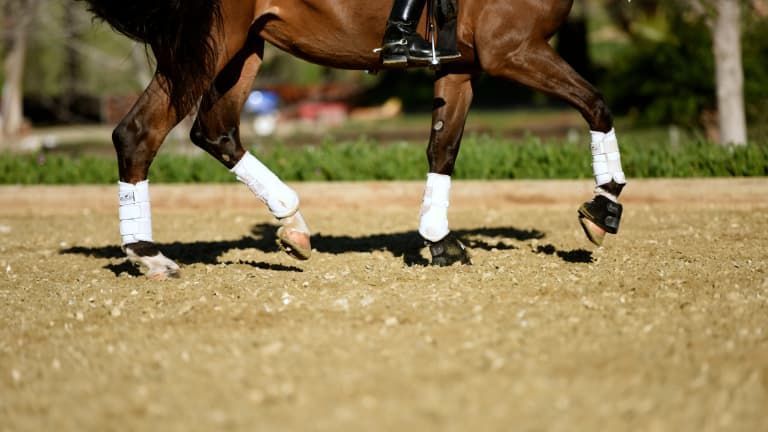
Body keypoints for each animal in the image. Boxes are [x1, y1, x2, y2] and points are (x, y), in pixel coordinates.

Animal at [79, 0, 627, 279]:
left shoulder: (460, 65)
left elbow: (443, 149)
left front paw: (439, 240)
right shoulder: (511, 49)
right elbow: (596, 104)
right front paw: (603, 210)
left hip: (243, 48)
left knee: (214, 131)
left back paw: (293, 224)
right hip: (210, 46)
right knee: (138, 133)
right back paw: (149, 255)